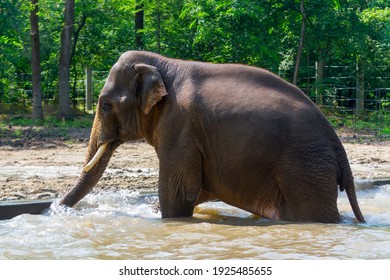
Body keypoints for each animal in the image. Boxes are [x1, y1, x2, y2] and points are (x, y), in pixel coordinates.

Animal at [58, 50, 366, 224]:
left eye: (105, 105)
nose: (55, 208)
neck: (164, 65)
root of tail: (339, 147)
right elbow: (198, 187)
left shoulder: (179, 126)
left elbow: (179, 190)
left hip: (304, 171)